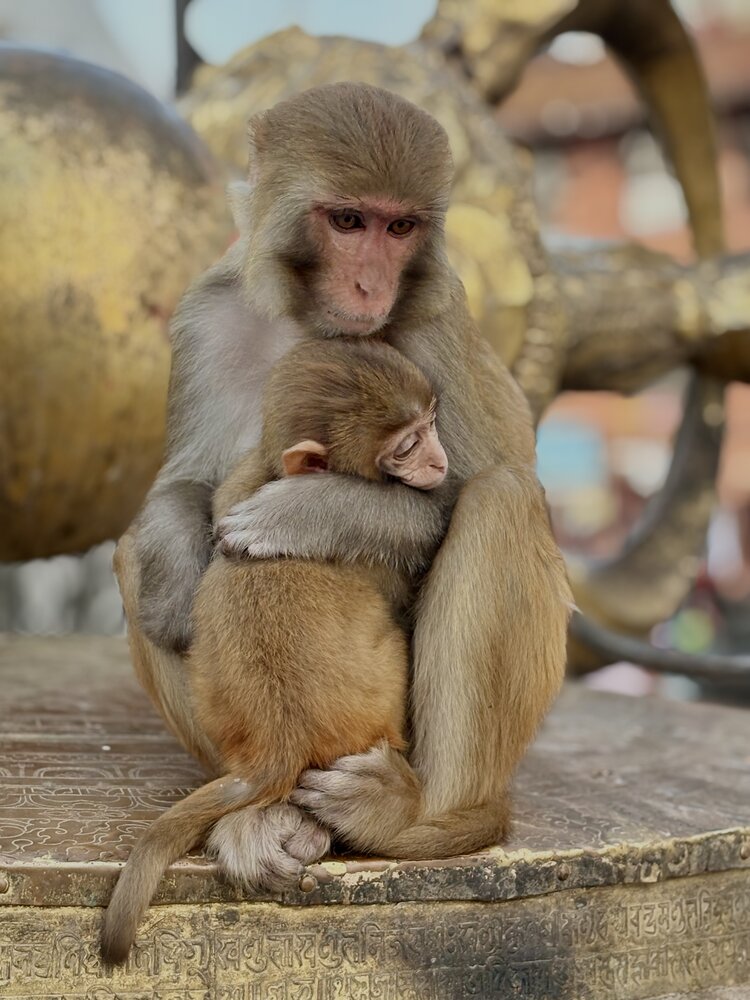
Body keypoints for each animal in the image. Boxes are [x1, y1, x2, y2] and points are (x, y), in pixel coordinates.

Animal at [101, 337, 449, 964]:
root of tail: (277, 744)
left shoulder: (241, 482)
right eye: (406, 447)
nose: (440, 462)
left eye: (430, 423)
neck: (273, 470)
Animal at [115, 82, 572, 886]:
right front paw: (174, 582)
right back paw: (263, 812)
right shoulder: (207, 315)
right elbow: (183, 482)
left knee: (501, 500)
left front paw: (297, 513)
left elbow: (449, 495)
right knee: (129, 548)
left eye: (400, 227)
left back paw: (413, 816)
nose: (370, 285)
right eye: (349, 221)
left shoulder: (434, 321)